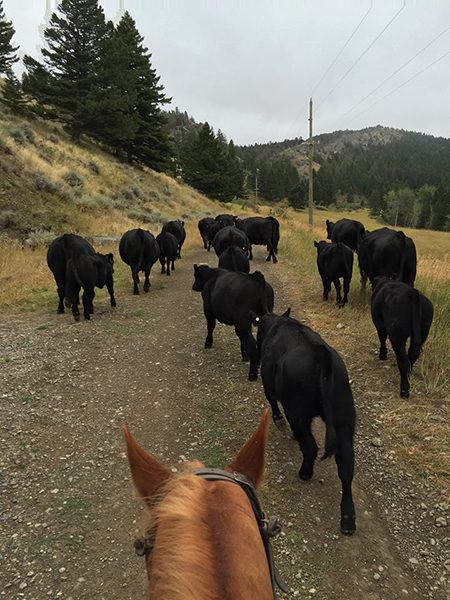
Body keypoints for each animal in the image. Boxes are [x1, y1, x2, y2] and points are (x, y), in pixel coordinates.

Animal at [253, 310, 356, 536]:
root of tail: (322, 357)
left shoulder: (267, 381)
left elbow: (272, 400)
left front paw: (279, 422)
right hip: (344, 422)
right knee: (346, 468)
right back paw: (348, 518)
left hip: (297, 413)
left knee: (310, 447)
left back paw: (305, 472)